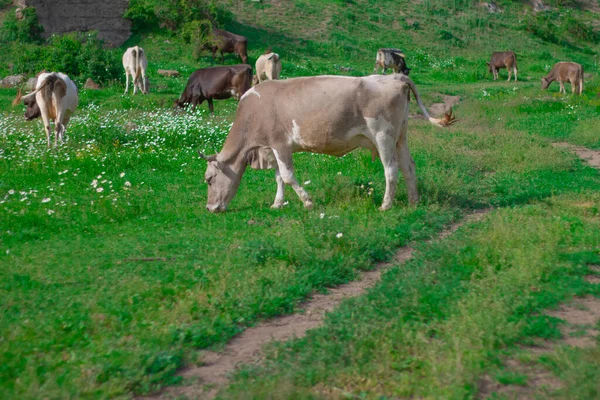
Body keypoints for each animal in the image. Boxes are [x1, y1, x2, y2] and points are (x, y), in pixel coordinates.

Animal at [199, 74, 458, 214]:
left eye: (209, 179)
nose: (210, 208)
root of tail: (395, 76)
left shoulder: (280, 143)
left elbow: (287, 176)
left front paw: (307, 201)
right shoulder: (270, 148)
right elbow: (278, 177)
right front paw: (277, 203)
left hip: (383, 135)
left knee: (391, 169)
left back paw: (385, 205)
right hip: (400, 137)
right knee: (408, 166)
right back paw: (414, 200)